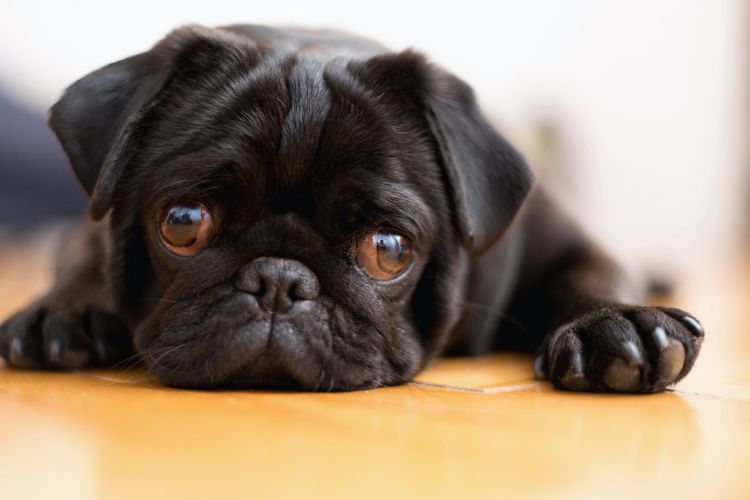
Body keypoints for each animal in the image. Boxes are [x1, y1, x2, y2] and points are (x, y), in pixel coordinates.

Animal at [0, 24, 704, 390]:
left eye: (388, 249)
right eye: (184, 223)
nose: (278, 280)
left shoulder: (567, 239)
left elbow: (590, 271)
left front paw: (617, 325)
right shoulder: (87, 227)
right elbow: (86, 259)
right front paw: (66, 311)